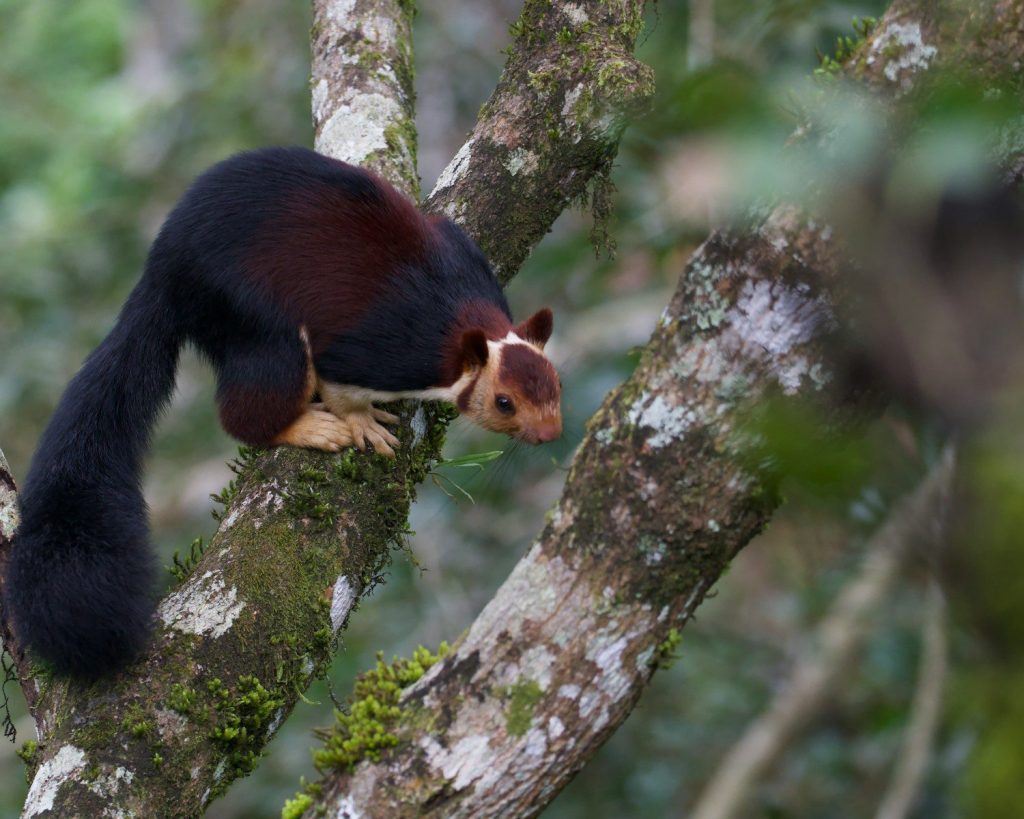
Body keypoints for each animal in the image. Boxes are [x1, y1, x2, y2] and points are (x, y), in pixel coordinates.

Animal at [3, 147, 562, 678]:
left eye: (555, 385)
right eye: (504, 403)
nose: (551, 433)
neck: (458, 317)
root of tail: (162, 272)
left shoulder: (464, 254)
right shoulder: (377, 351)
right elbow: (340, 382)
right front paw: (360, 422)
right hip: (247, 312)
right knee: (248, 406)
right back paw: (308, 426)